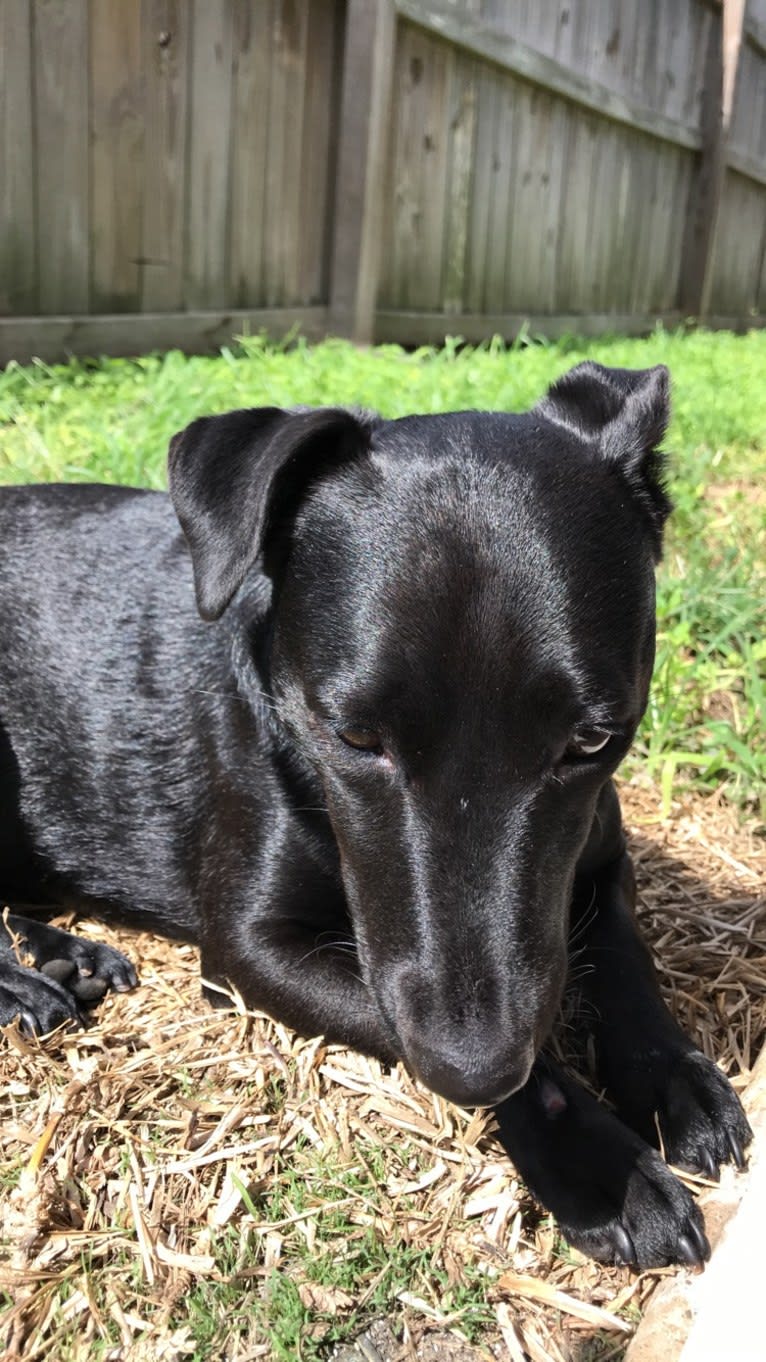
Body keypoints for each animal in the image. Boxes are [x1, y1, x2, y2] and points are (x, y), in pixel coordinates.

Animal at [0, 362, 746, 1263]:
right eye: (354, 736)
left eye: (592, 739)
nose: (474, 1063)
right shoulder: (253, 950)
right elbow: (404, 1019)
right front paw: (608, 1167)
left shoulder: (600, 856)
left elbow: (624, 952)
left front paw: (676, 1077)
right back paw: (27, 983)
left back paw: (64, 954)